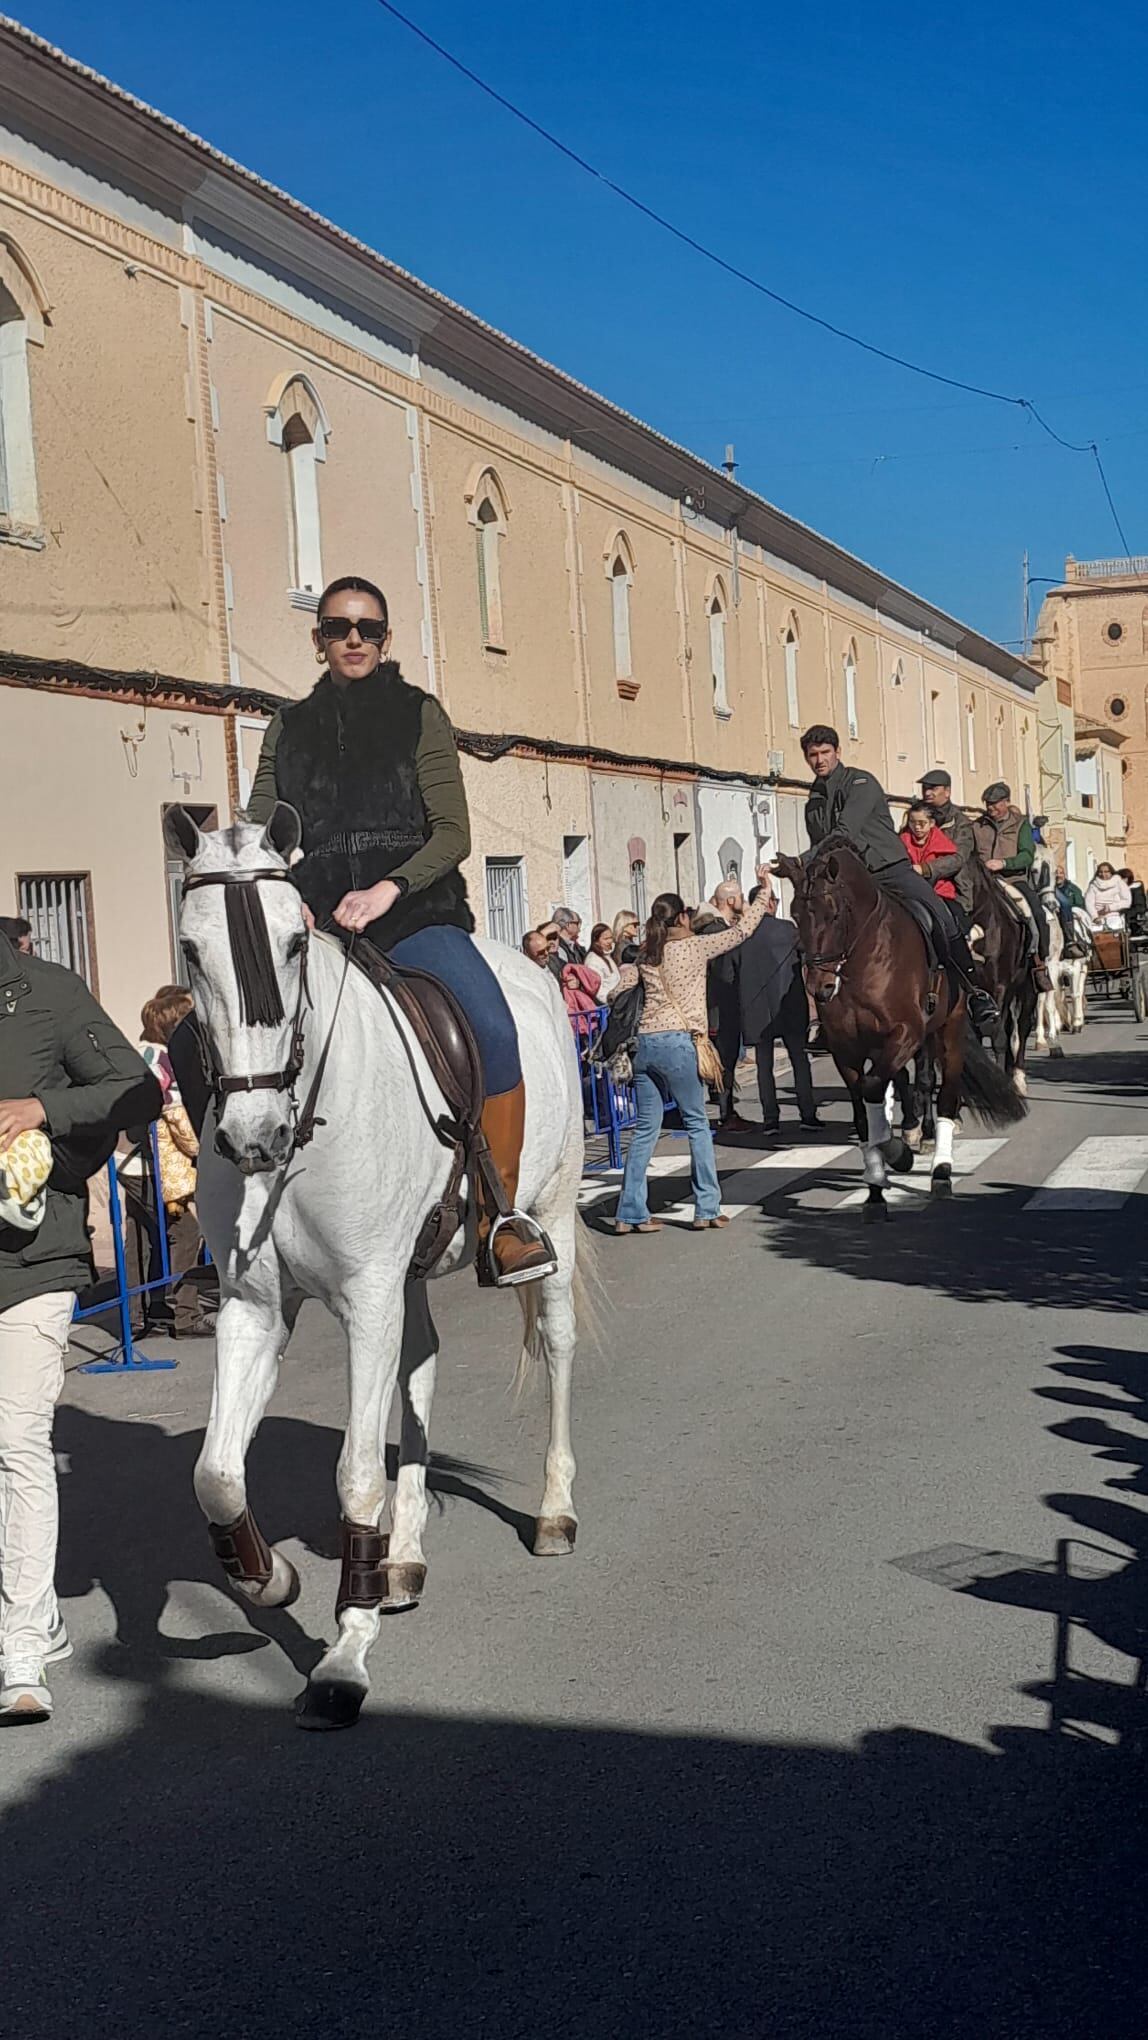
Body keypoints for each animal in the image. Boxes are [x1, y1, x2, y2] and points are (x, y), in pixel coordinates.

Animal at [166, 803, 587, 1729]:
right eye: (190, 948)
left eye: (294, 941)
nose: (253, 1134)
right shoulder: (256, 1308)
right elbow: (215, 1475)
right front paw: (271, 1578)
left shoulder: (365, 1298)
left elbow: (356, 1475)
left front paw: (343, 1658)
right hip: (411, 1280)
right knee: (420, 1372)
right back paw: (403, 1558)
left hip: (554, 1219)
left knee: (558, 1348)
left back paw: (554, 1514)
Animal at [778, 836, 1027, 1215]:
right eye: (794, 915)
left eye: (833, 914)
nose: (819, 988)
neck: (861, 959)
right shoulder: (846, 1050)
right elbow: (865, 1114)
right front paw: (876, 1186)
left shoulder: (905, 1034)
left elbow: (875, 1089)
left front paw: (898, 1153)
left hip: (951, 1030)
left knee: (947, 1096)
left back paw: (941, 1170)